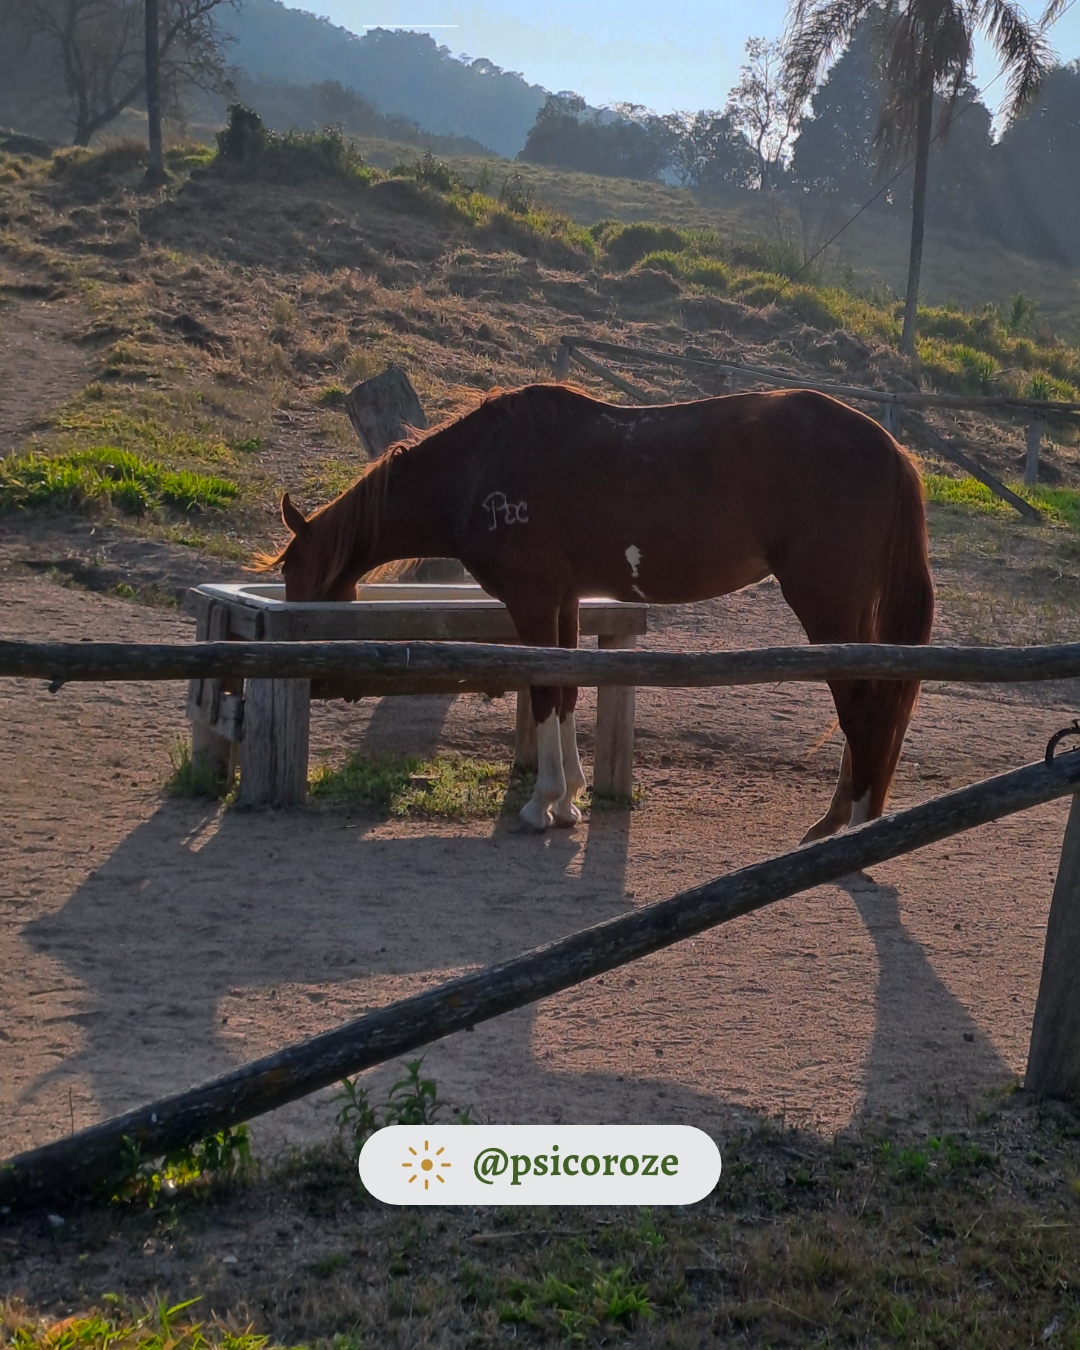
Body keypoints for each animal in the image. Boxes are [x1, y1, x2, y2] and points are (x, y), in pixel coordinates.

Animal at [266, 382, 934, 840]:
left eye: (298, 582)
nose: (317, 681)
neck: (479, 467)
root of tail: (889, 447)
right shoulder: (565, 601)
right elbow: (565, 694)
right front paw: (569, 801)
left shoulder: (533, 601)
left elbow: (542, 692)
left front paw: (541, 804)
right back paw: (837, 819)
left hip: (826, 604)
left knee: (863, 706)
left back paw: (855, 826)